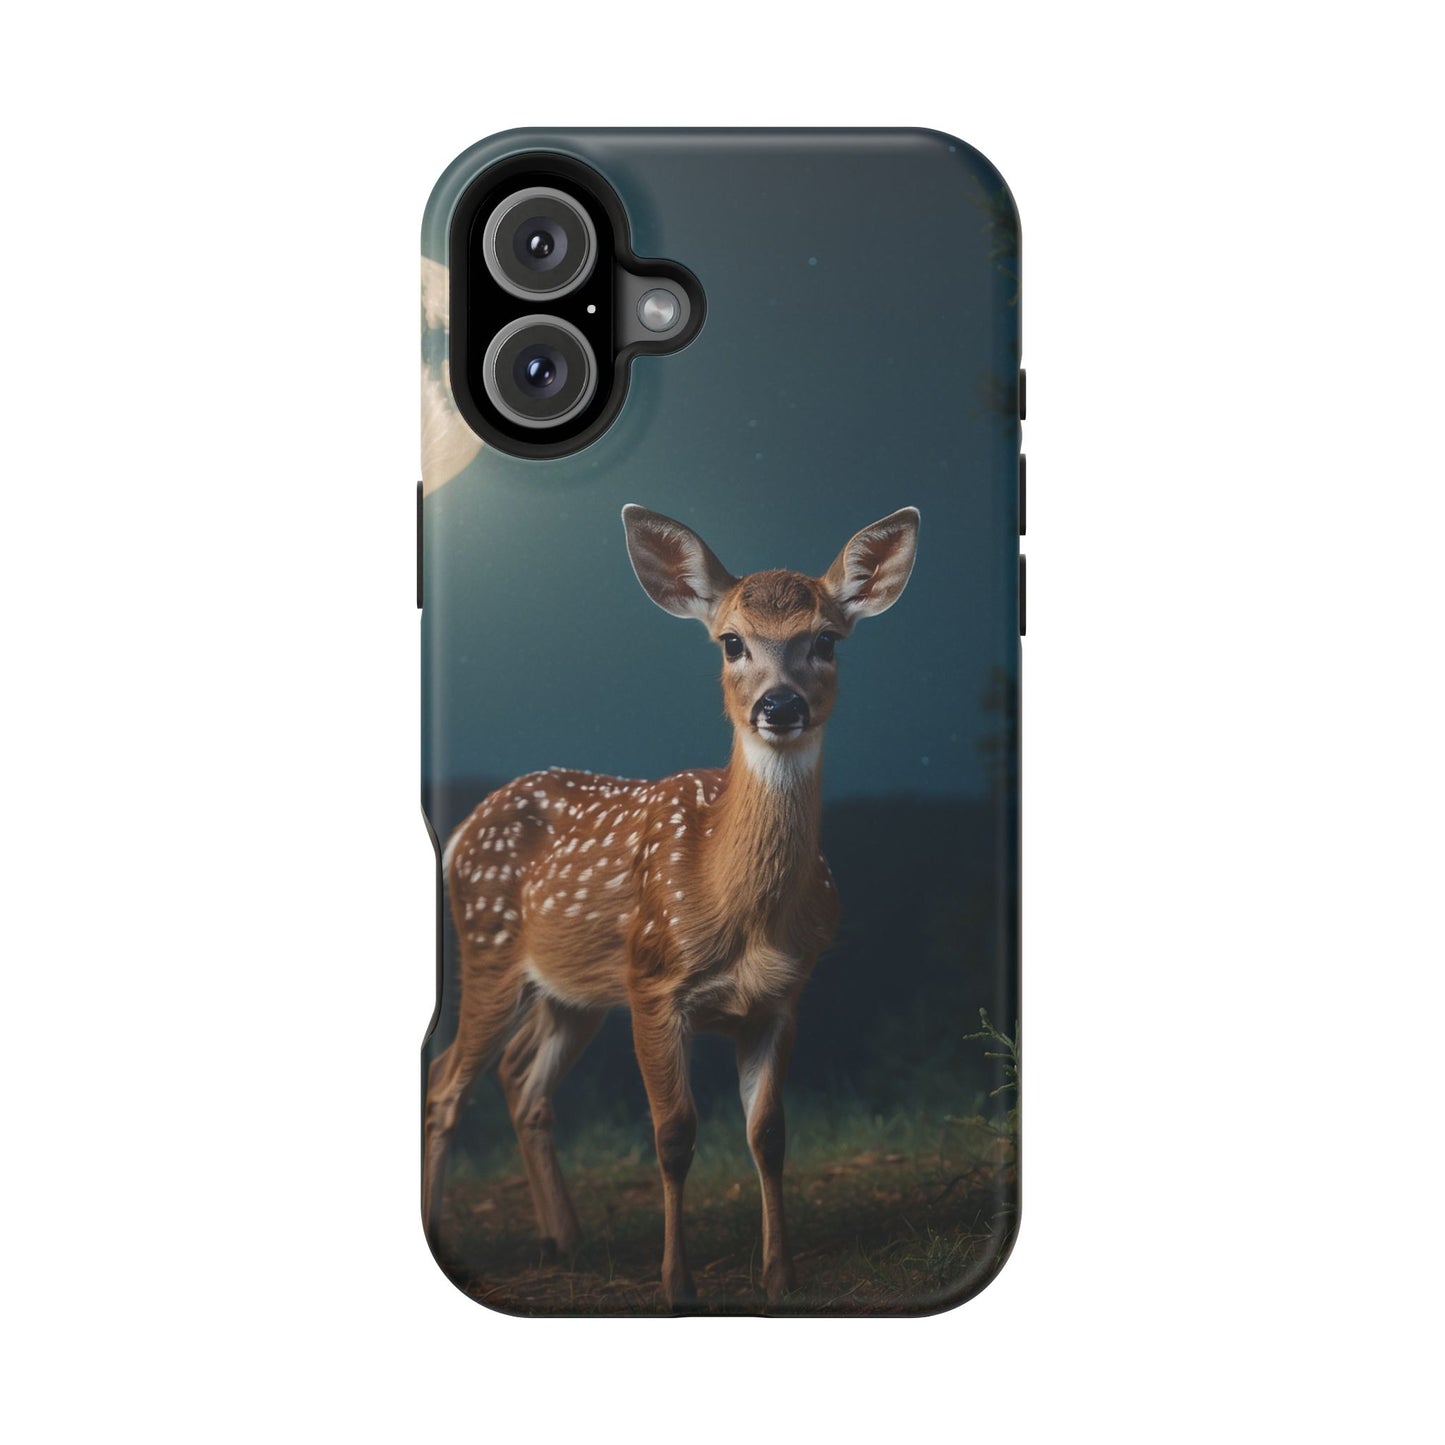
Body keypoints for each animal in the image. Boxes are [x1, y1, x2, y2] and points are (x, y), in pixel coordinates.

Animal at [425, 502, 920, 1306]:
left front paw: (779, 1276)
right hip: (491, 949)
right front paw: (676, 1282)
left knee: (521, 1081)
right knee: (445, 1082)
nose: (779, 704)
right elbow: (674, 1134)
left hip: (575, 991)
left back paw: (564, 1240)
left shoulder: (782, 997)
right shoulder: (655, 984)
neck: (738, 909)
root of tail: (463, 830)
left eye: (825, 640)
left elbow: (768, 1134)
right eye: (730, 641)